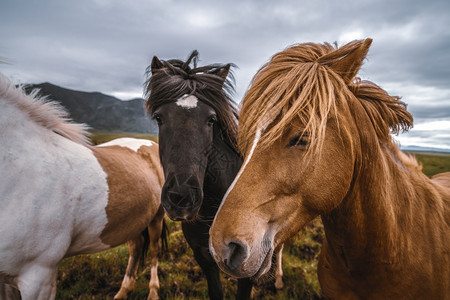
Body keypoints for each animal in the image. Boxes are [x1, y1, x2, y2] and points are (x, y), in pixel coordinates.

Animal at [0, 73, 165, 300]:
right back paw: (123, 291)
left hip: (157, 216)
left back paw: (153, 292)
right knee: (136, 247)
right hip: (134, 218)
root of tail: (151, 145)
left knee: (155, 252)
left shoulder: (38, 276)